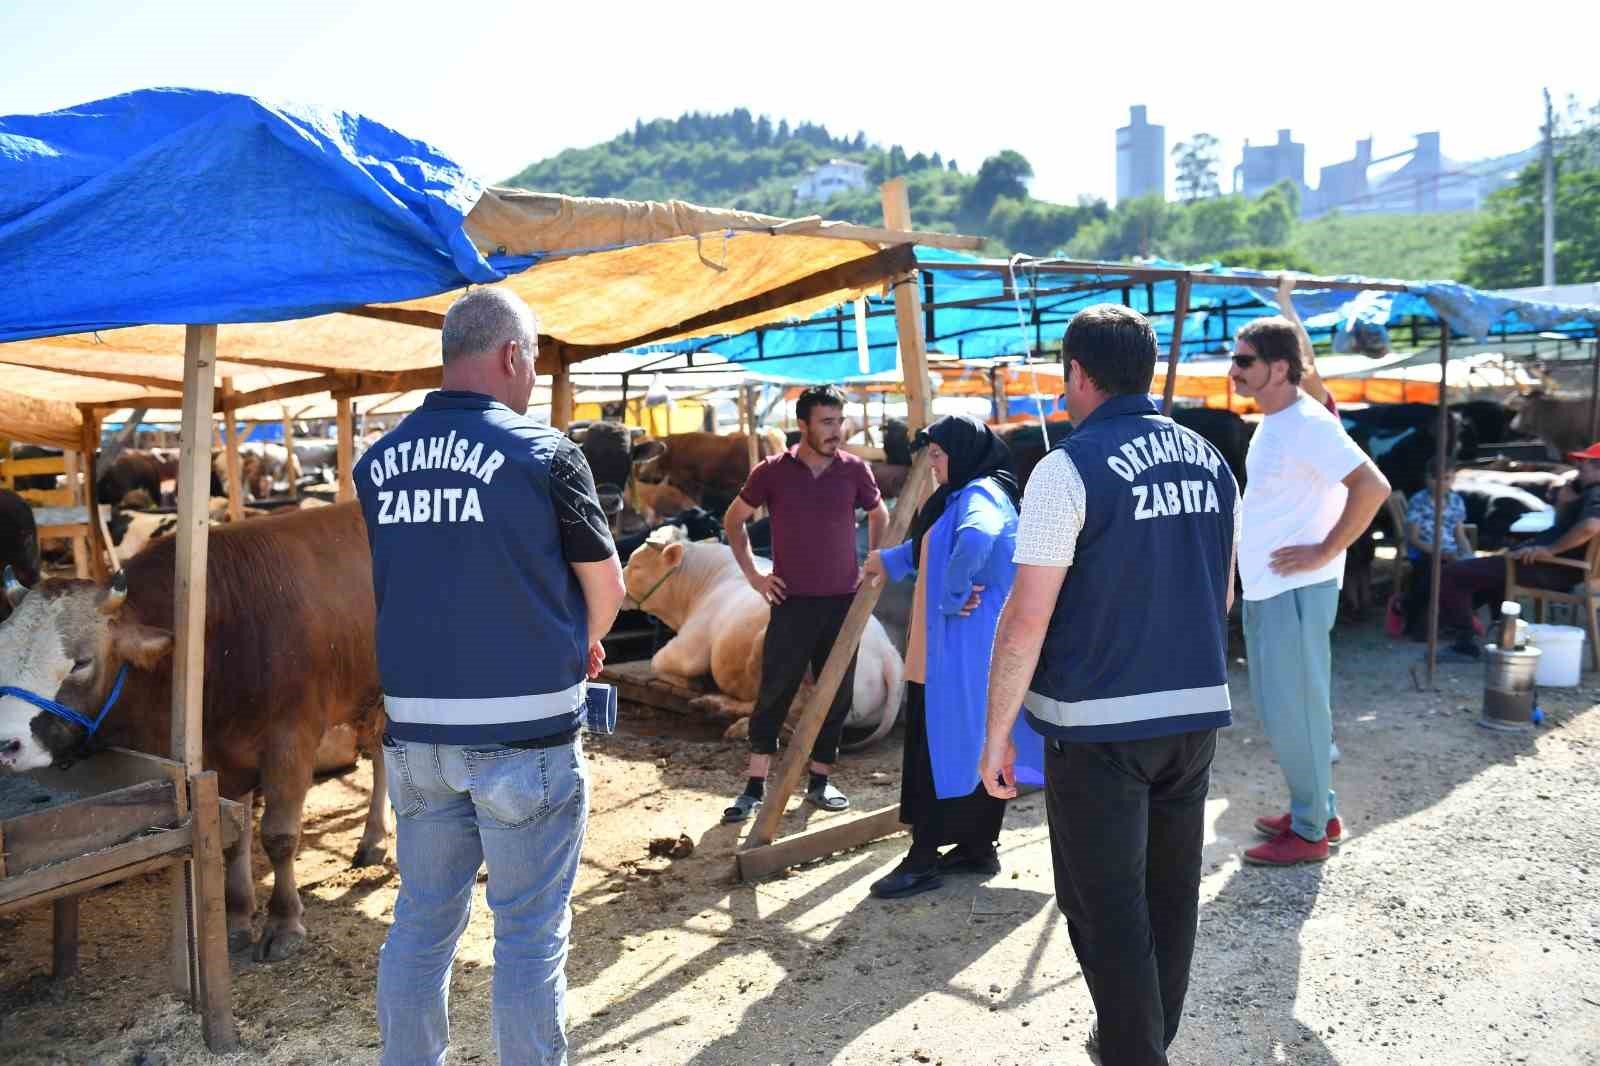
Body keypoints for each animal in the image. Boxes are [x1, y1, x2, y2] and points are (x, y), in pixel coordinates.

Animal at [0, 502, 385, 960]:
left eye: (80, 662)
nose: (6, 744)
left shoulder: (291, 740)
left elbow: (278, 835)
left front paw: (283, 923)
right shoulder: (223, 754)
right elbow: (233, 837)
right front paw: (237, 917)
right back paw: (374, 839)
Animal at [620, 524, 908, 745]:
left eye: (636, 566)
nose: (618, 586)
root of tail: (888, 652)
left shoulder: (692, 647)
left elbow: (657, 660)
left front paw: (692, 683)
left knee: (786, 711)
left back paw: (724, 713)